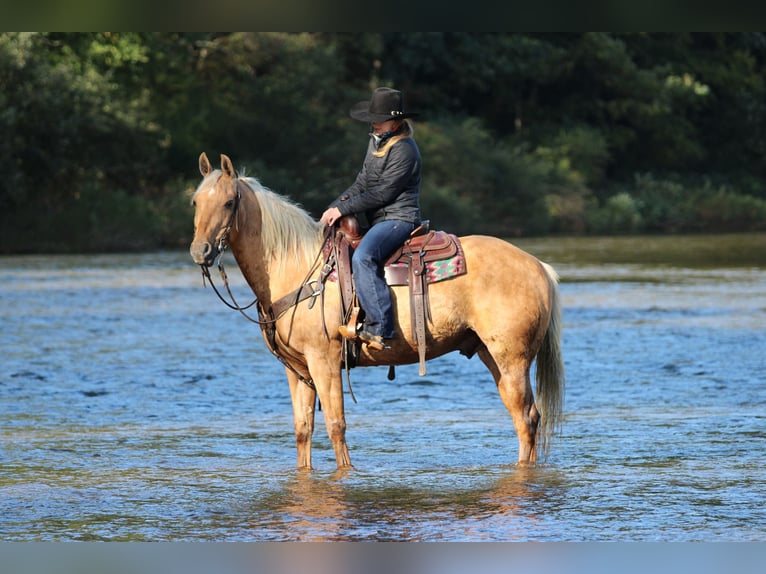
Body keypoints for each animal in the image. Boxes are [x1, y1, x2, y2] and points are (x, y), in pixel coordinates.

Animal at [190, 153, 564, 470]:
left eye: (228, 202)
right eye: (195, 201)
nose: (200, 251)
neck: (296, 267)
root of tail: (538, 266)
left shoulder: (324, 362)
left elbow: (336, 426)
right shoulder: (297, 369)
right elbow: (302, 431)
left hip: (512, 359)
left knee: (527, 418)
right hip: (491, 355)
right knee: (524, 418)